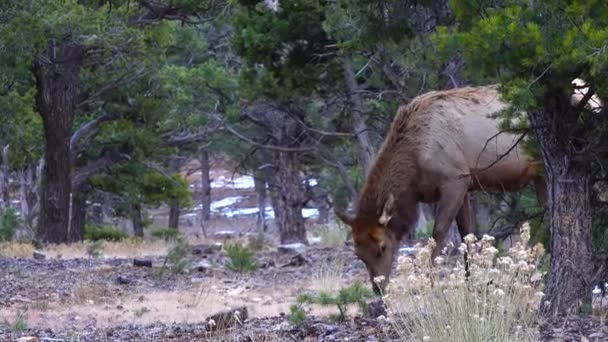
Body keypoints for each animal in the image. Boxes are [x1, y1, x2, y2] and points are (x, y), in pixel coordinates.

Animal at [334, 85, 548, 294]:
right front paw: (470, 281)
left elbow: (438, 232)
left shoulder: (454, 179)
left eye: (383, 247)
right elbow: (466, 233)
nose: (378, 288)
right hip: (539, 175)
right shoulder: (464, 183)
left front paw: (430, 280)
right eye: (358, 254)